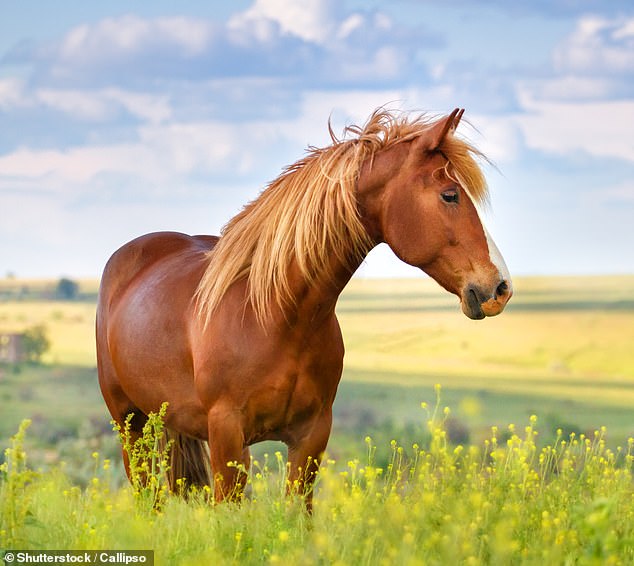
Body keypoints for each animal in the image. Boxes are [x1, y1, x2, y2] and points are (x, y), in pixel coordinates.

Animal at [95, 106, 508, 510]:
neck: (276, 317)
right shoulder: (227, 435)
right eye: (450, 195)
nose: (500, 287)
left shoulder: (311, 436)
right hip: (130, 425)